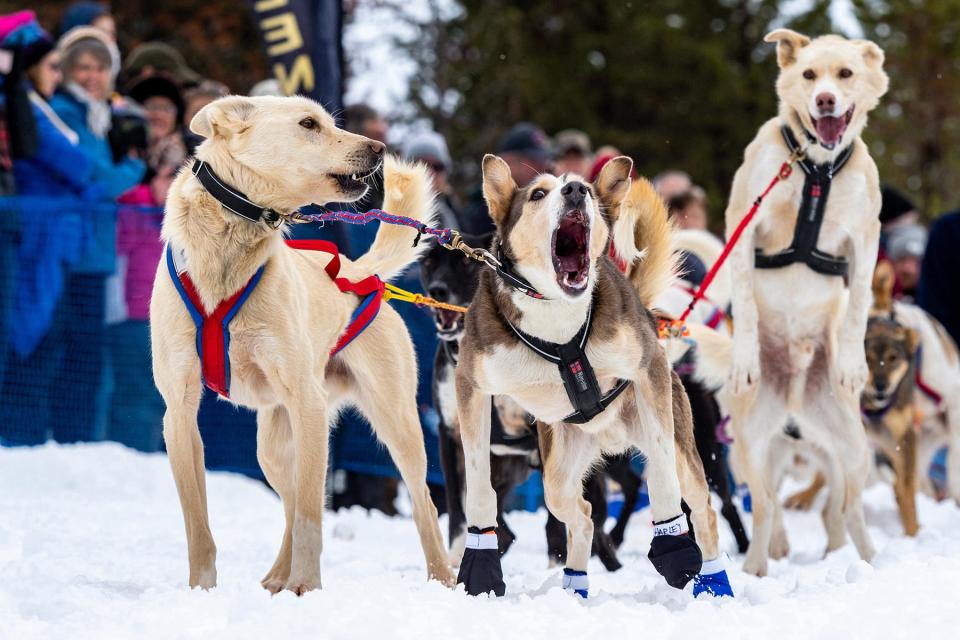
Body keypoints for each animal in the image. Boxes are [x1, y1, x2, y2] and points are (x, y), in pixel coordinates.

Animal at [149, 95, 454, 596]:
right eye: (309, 124)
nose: (378, 147)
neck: (229, 256)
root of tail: (359, 272)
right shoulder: (179, 412)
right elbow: (199, 524)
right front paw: (201, 591)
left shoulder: (306, 403)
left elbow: (313, 515)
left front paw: (308, 588)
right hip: (273, 448)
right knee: (290, 501)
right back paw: (277, 576)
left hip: (394, 424)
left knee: (421, 503)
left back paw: (442, 579)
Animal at [700, 30, 888, 576]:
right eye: (808, 75)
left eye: (844, 74)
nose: (824, 100)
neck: (816, 172)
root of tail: (794, 395)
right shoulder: (743, 223)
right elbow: (742, 295)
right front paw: (744, 357)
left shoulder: (866, 236)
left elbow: (858, 300)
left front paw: (852, 363)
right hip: (748, 452)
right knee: (765, 512)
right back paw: (755, 570)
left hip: (851, 448)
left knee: (848, 507)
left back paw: (870, 562)